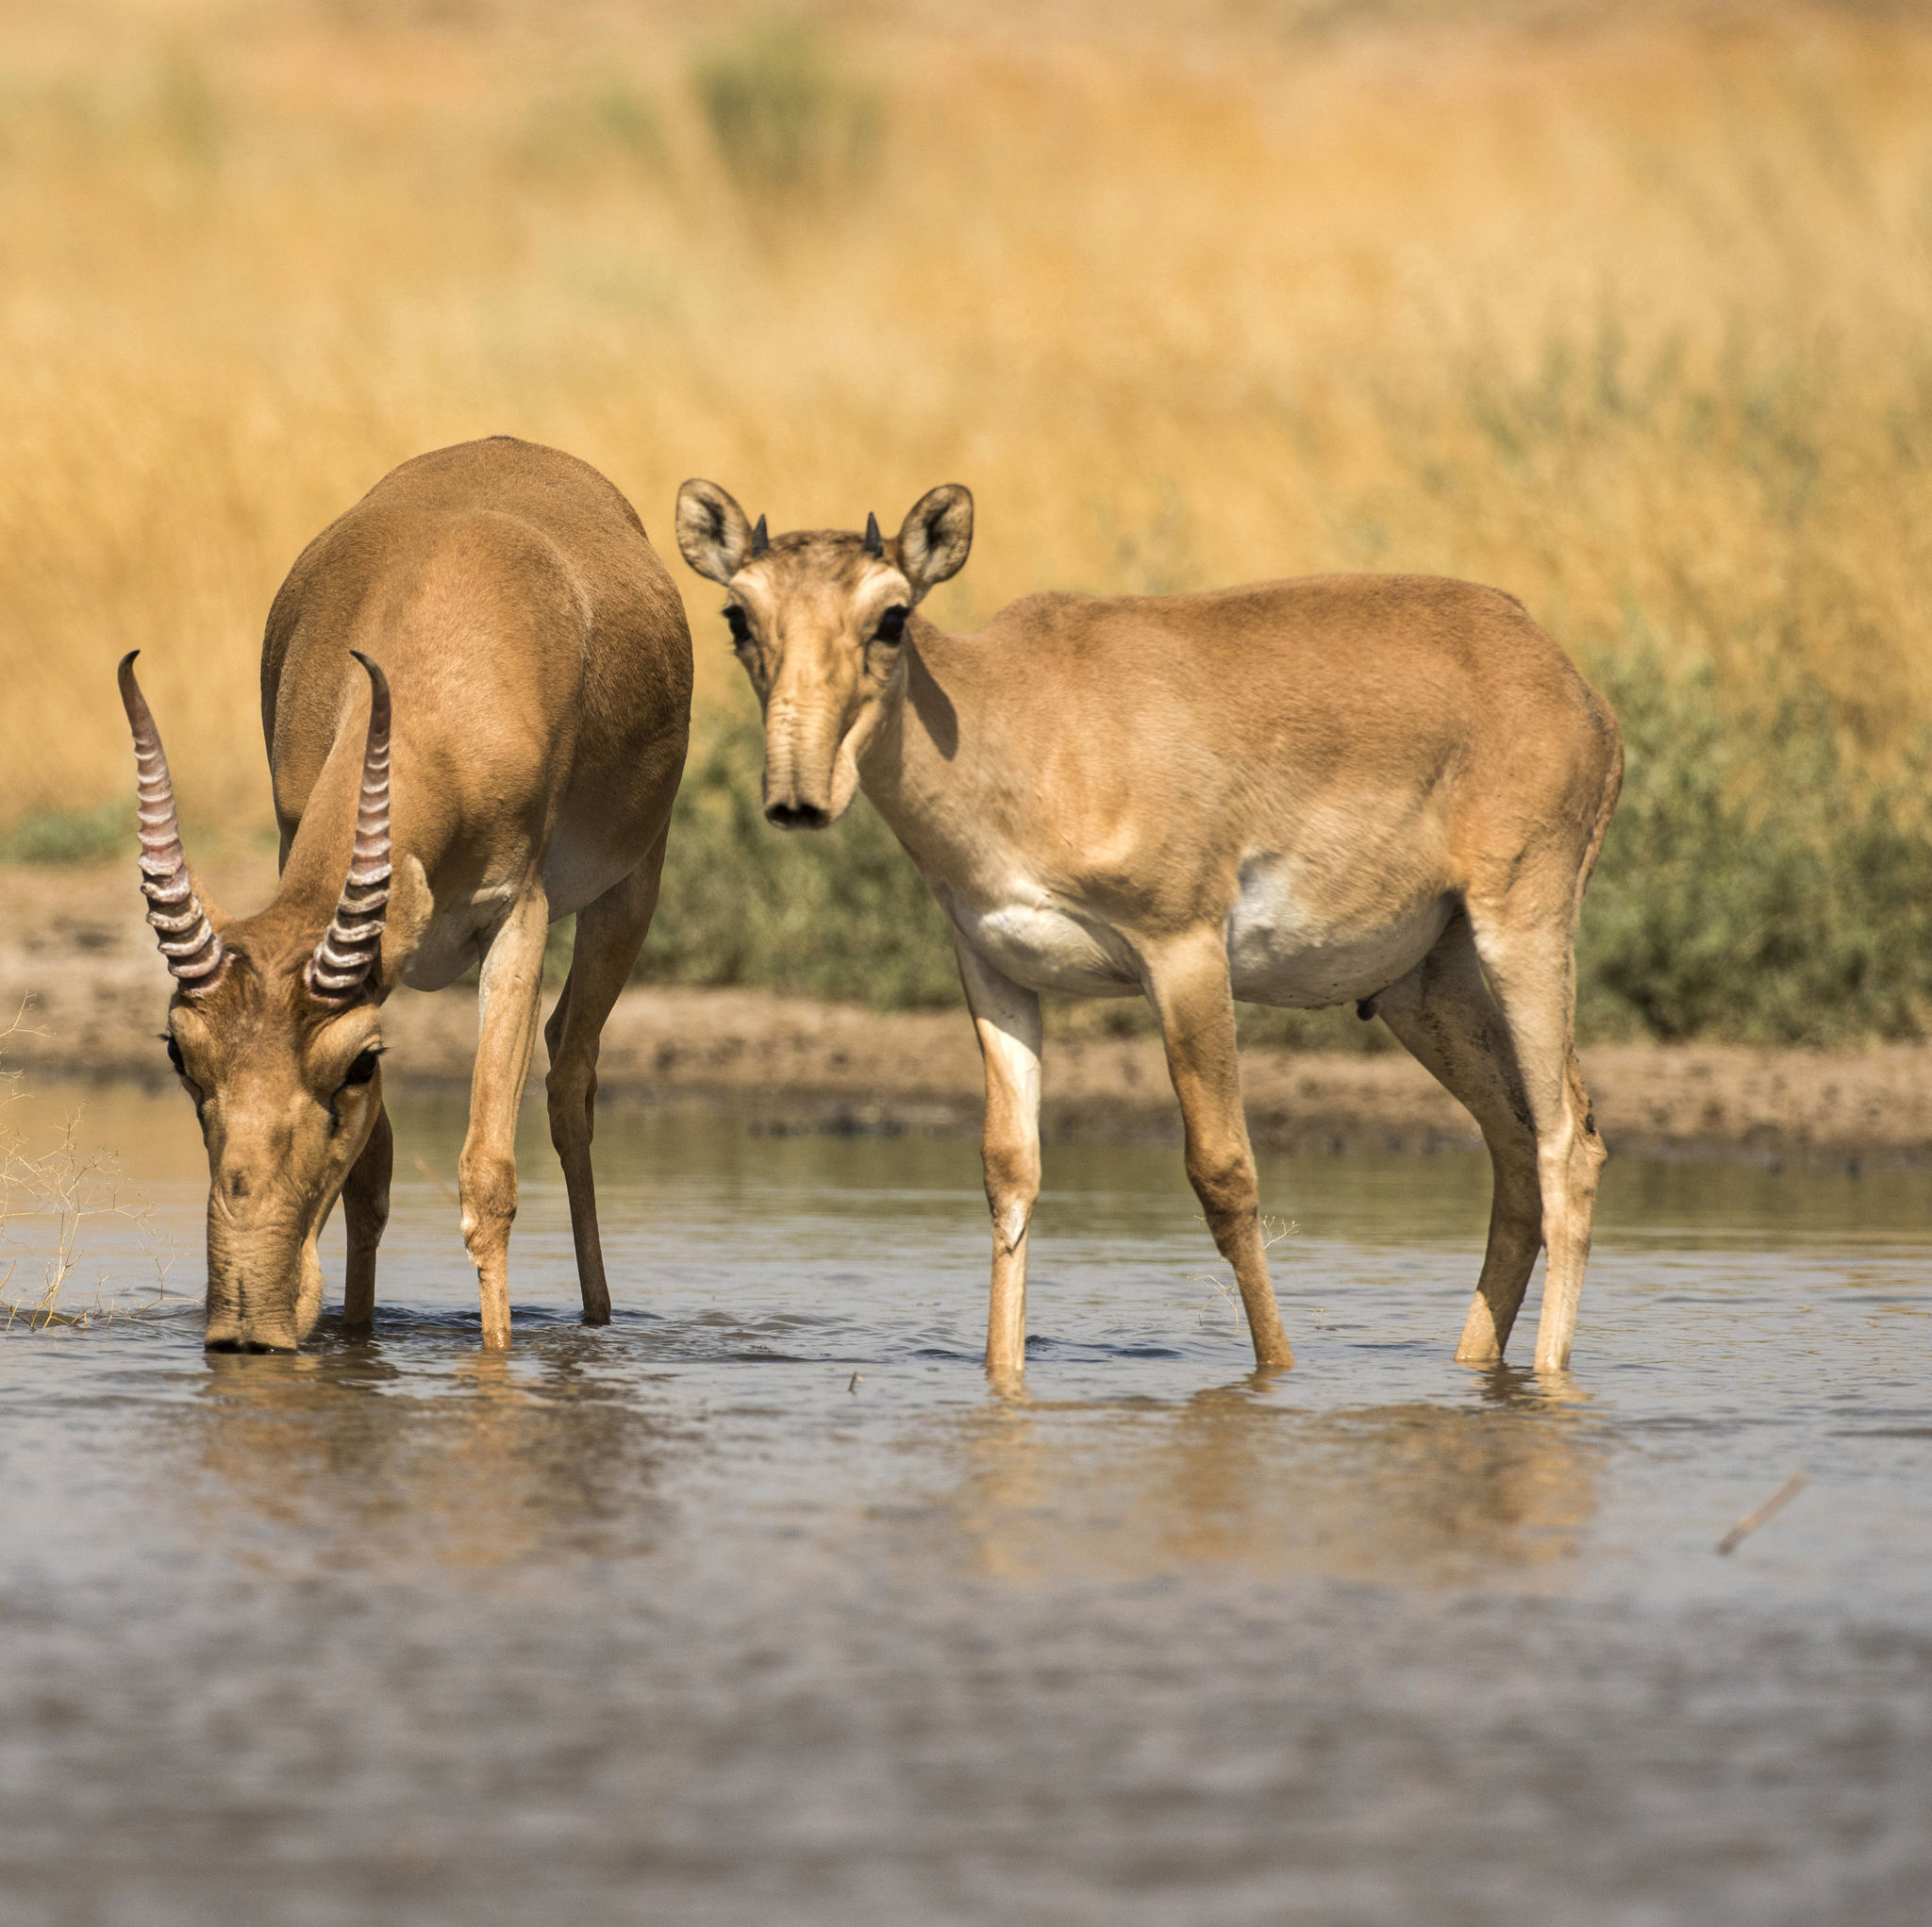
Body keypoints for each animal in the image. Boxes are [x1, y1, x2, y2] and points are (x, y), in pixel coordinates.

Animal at [125, 434, 695, 1359]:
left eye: (357, 1063)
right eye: (181, 1053)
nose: (249, 1325)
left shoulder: (519, 916)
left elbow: (488, 1175)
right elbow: (371, 1179)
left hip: (631, 891)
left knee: (571, 1076)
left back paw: (598, 1316)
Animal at [675, 482, 1615, 1389]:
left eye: (892, 614)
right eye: (738, 614)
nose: (799, 797)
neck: (1019, 719)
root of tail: (1575, 688)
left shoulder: (1183, 953)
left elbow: (1224, 1172)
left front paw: (1277, 1372)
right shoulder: (996, 970)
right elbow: (1009, 1172)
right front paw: (1002, 1374)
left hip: (1523, 927)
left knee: (1569, 1142)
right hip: (1423, 981)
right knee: (1516, 1145)